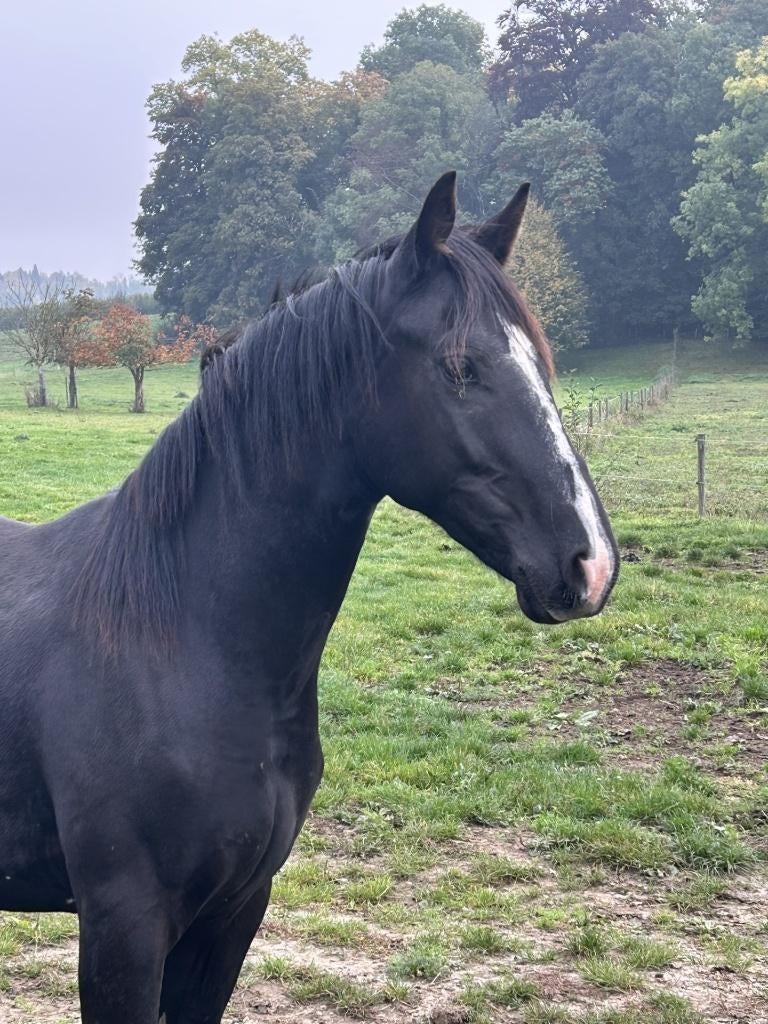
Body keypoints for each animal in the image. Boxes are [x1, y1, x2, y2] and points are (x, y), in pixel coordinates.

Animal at [0, 172, 618, 1023]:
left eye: (543, 362)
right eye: (461, 366)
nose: (590, 564)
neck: (178, 643)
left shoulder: (232, 915)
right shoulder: (123, 928)